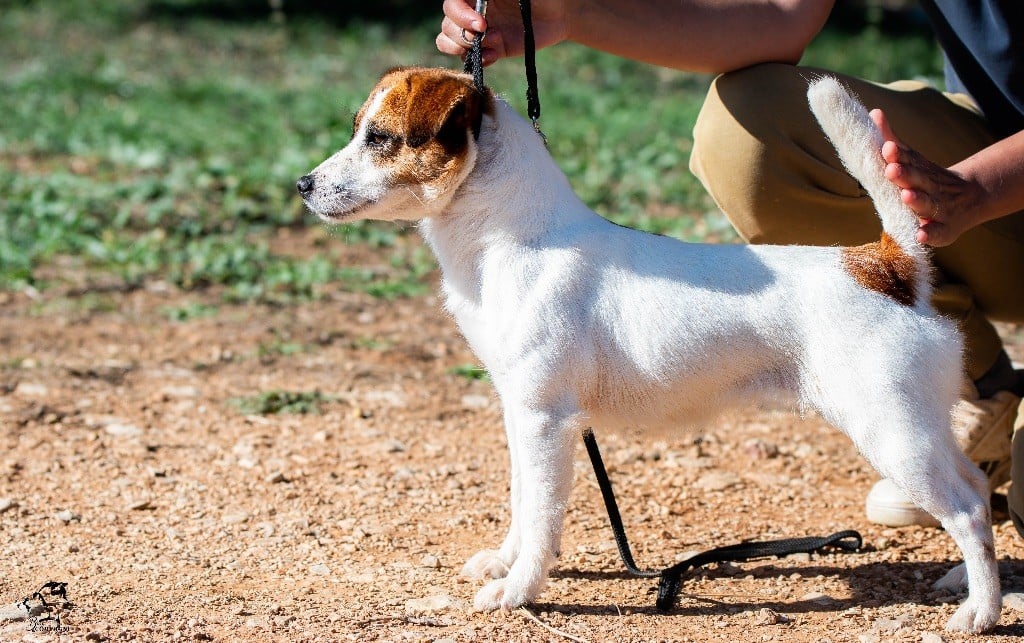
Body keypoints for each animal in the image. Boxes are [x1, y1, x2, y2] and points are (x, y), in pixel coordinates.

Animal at [296, 67, 999, 630]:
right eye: (358, 129)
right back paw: (962, 582)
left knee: (965, 510)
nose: (303, 183)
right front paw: (504, 561)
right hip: (918, 427)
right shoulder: (520, 415)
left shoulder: (545, 422)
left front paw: (519, 589)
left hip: (891, 432)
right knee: (977, 490)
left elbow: (543, 514)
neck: (517, 236)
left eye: (379, 138)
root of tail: (886, 266)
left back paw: (980, 612)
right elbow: (522, 501)